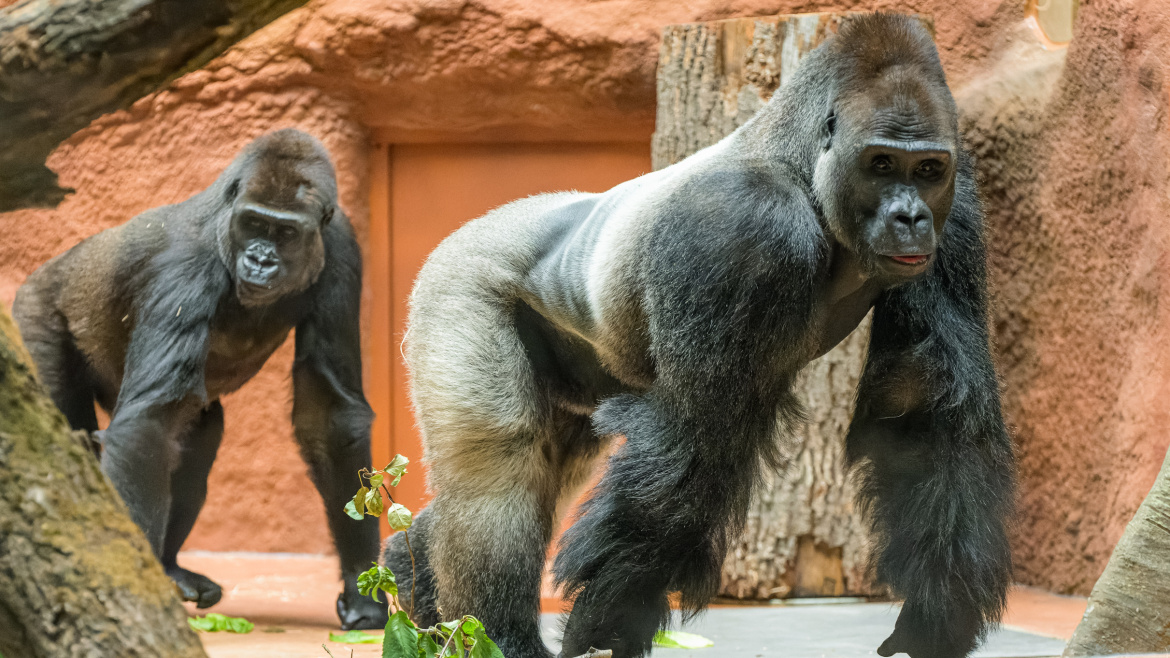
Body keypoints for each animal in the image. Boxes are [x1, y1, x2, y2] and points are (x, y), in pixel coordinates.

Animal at [14, 127, 388, 622]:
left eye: (286, 232)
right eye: (254, 224)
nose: (261, 260)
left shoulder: (341, 244)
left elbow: (327, 415)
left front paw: (363, 587)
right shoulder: (186, 266)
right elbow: (149, 424)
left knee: (198, 434)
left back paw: (172, 567)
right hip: (34, 313)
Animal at [383, 11, 1015, 655]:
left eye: (928, 170)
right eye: (881, 164)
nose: (910, 217)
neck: (800, 166)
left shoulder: (955, 210)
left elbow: (927, 408)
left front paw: (934, 616)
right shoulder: (743, 225)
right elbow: (695, 436)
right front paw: (609, 618)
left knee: (549, 464)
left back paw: (415, 579)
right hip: (457, 283)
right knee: (500, 474)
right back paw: (495, 633)